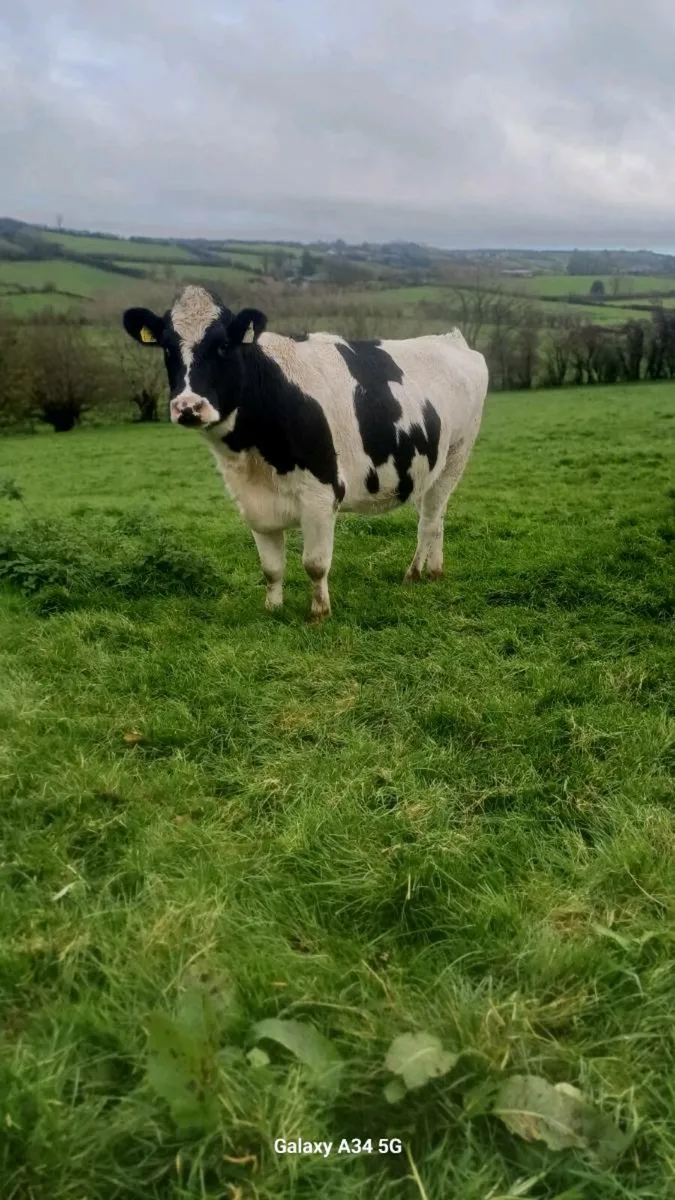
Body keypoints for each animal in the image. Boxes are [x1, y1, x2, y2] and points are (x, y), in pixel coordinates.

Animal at [122, 286, 488, 619]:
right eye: (167, 347)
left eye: (223, 345)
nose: (188, 406)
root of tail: (451, 339)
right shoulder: (253, 501)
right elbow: (271, 567)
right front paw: (272, 608)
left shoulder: (321, 494)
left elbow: (314, 563)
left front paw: (318, 612)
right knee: (435, 515)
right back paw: (431, 570)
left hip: (457, 454)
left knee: (430, 519)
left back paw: (418, 573)